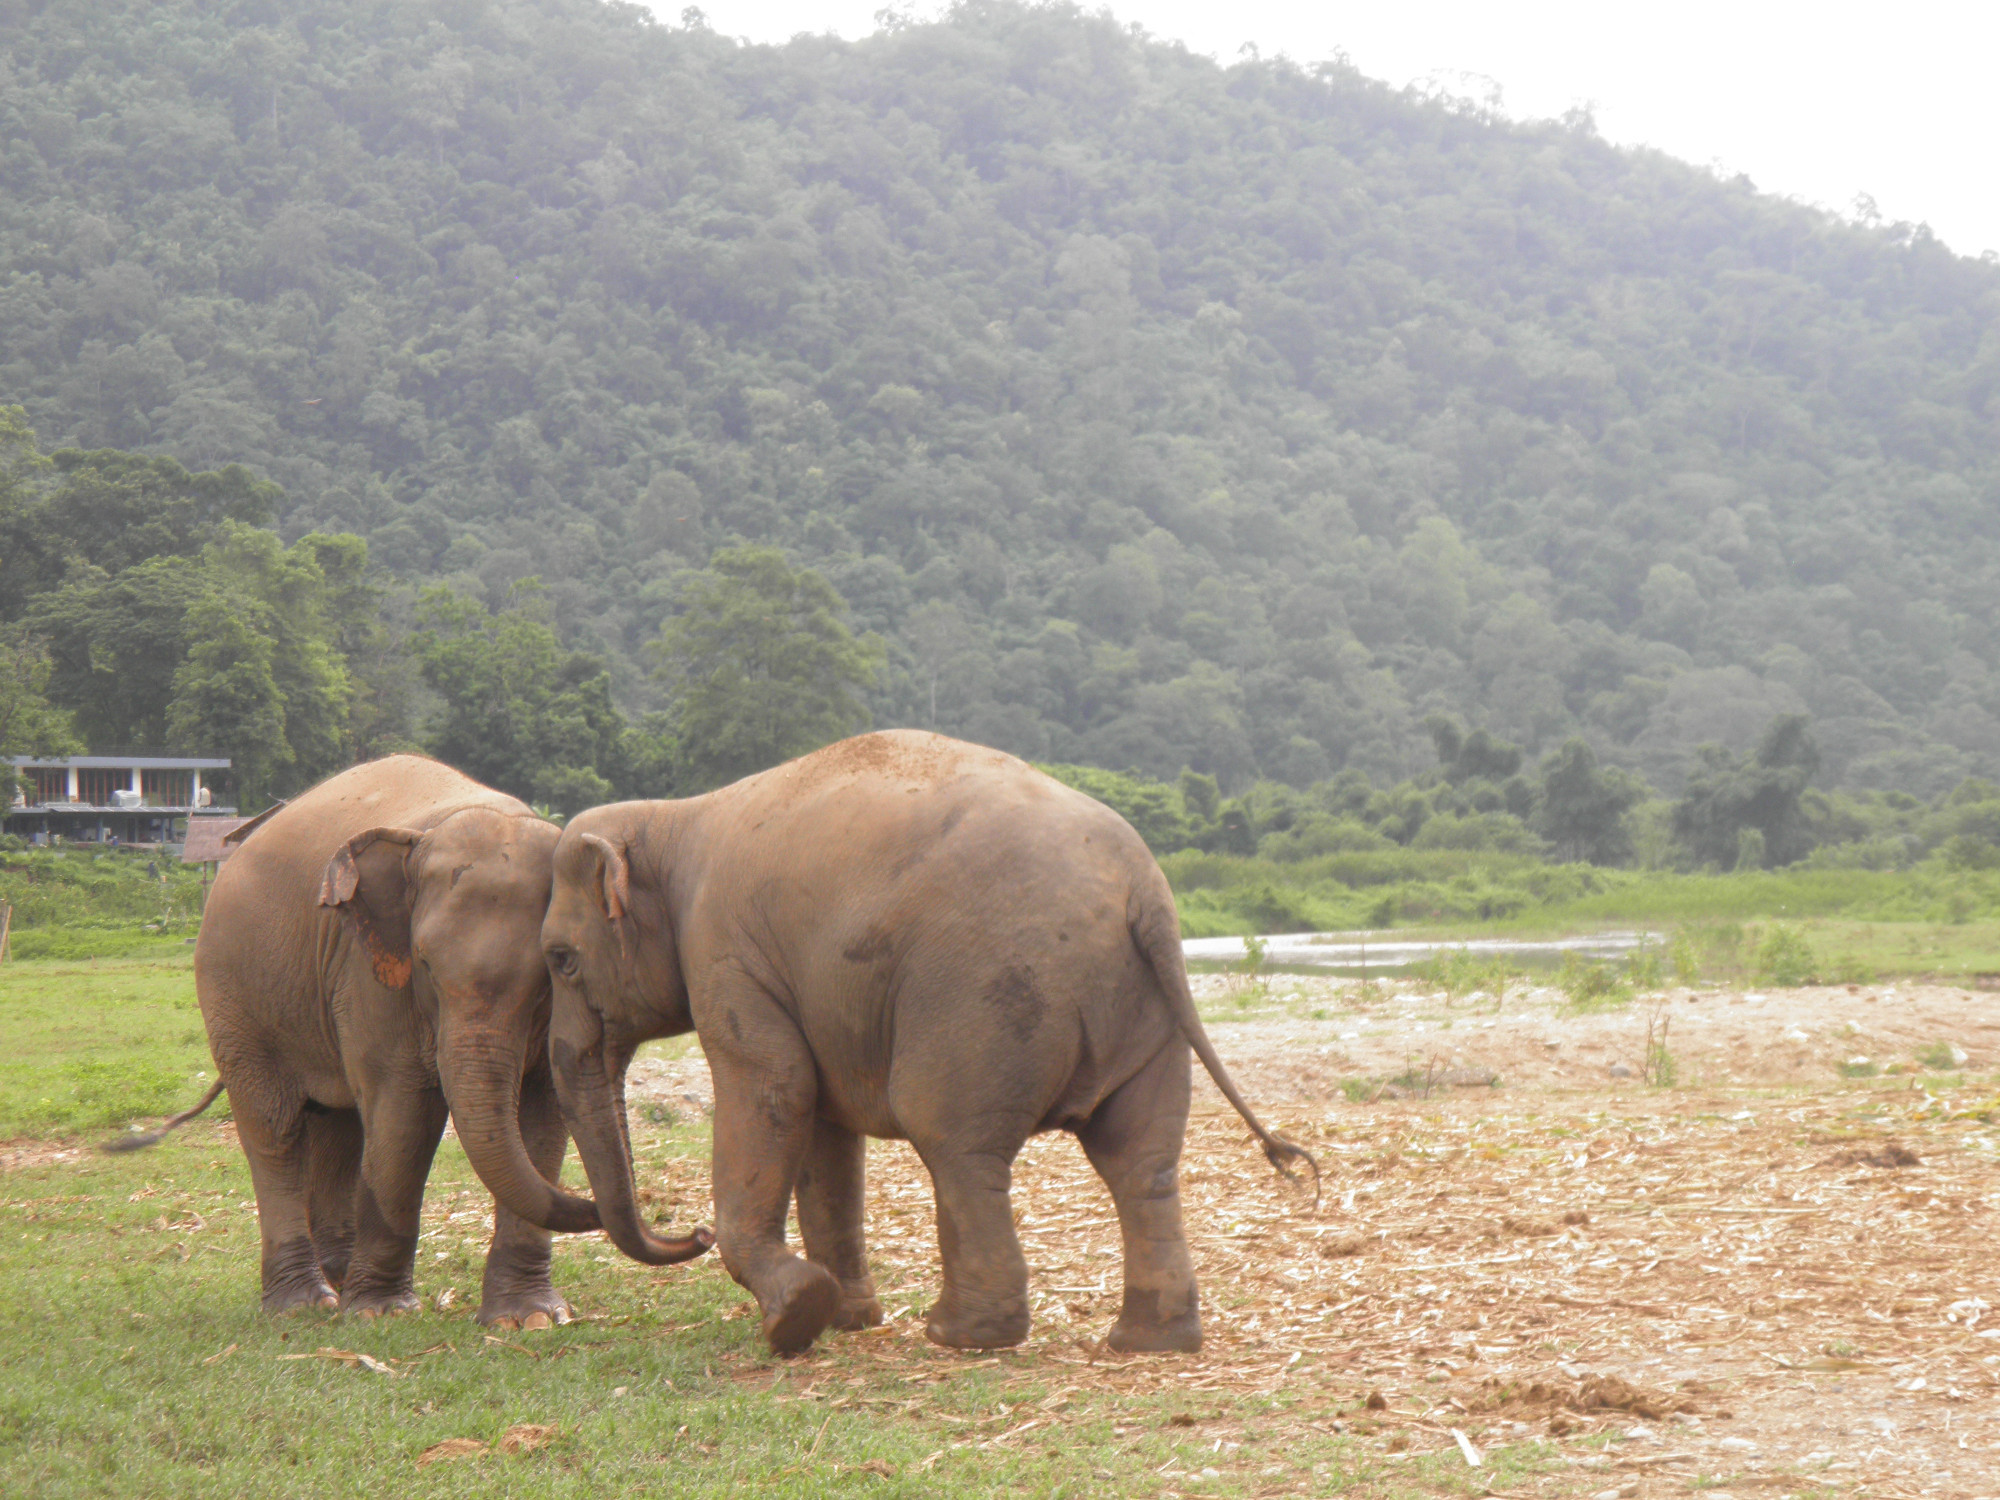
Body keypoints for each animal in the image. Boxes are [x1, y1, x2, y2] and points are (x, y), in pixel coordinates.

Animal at [119, 764, 712, 1328]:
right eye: (424, 962)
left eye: (550, 970)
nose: (701, 1232)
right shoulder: (369, 970)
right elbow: (404, 1111)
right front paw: (381, 1313)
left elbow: (543, 1117)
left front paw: (530, 1319)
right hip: (233, 996)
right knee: (275, 1127)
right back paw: (304, 1304)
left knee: (338, 1126)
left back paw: (339, 1277)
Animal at [508, 736, 1312, 1360]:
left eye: (561, 960)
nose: (692, 1233)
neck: (672, 817)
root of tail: (1142, 891)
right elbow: (824, 1127)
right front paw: (846, 1318)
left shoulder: (726, 954)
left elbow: (775, 1089)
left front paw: (794, 1317)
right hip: (1143, 1015)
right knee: (1139, 1161)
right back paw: (1148, 1343)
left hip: (984, 997)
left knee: (956, 1142)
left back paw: (961, 1336)